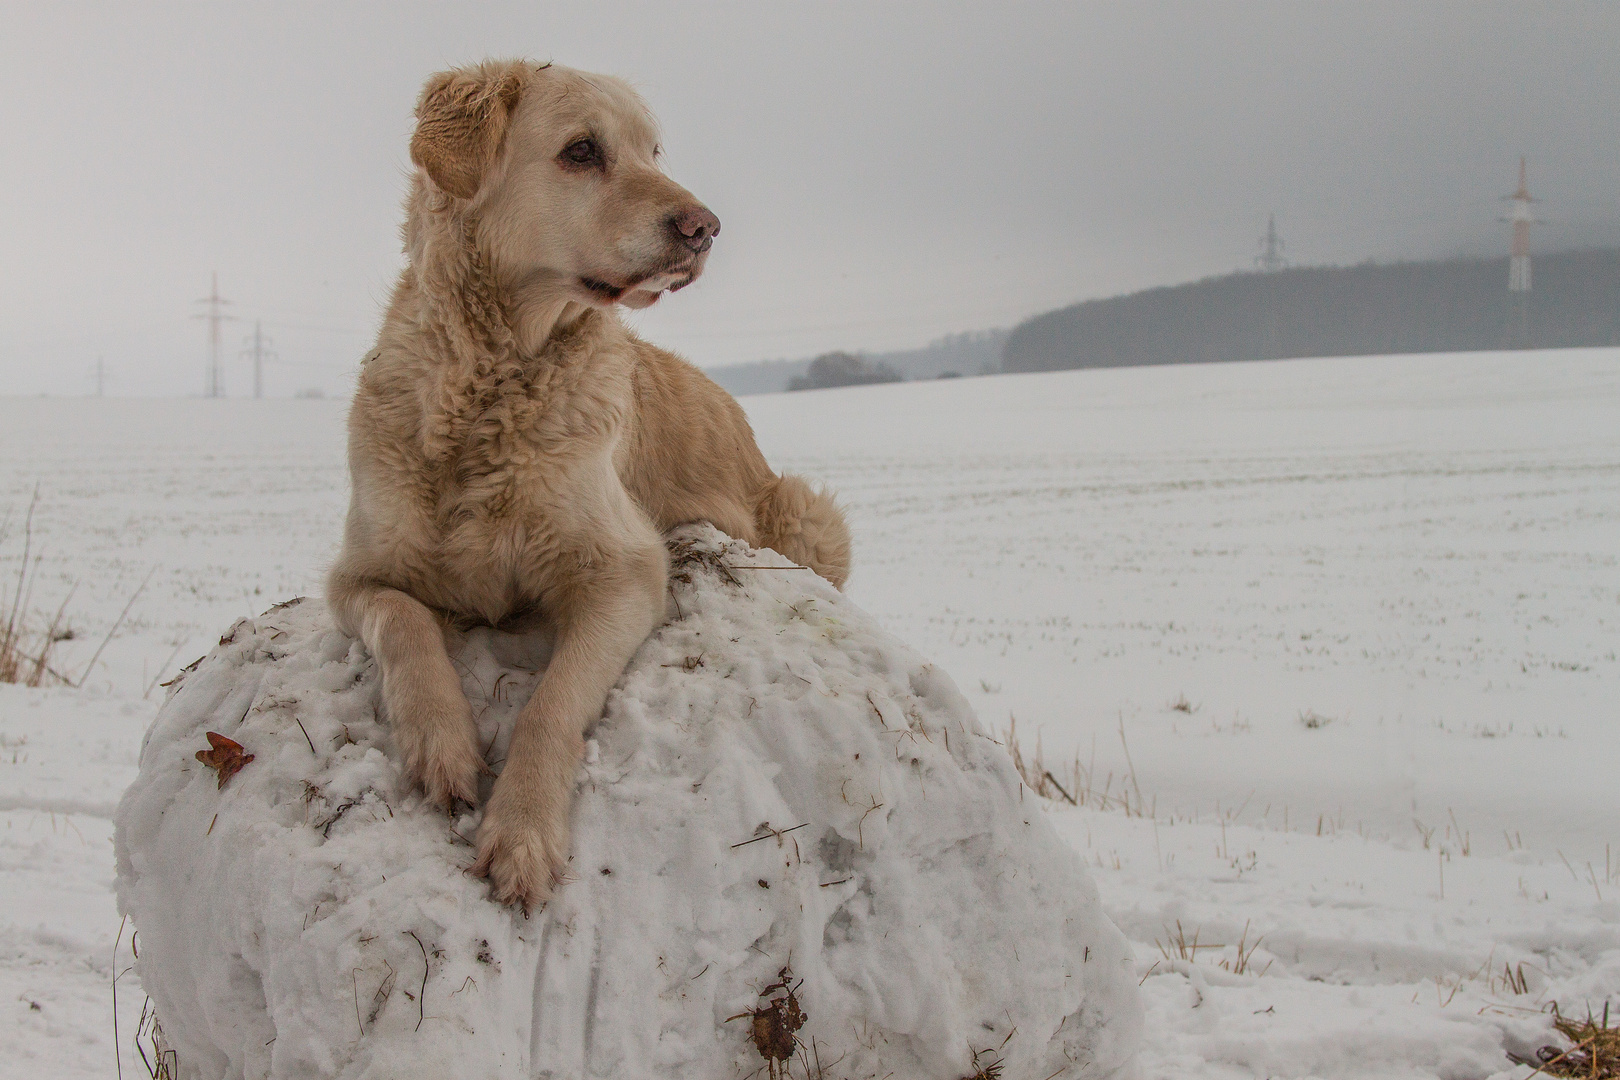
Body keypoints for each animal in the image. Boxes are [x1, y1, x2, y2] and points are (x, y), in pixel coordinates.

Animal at [333, 61, 855, 913]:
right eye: (582, 151)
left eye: (653, 151)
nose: (705, 227)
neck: (492, 382)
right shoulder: (354, 576)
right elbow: (403, 622)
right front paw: (440, 744)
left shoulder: (626, 569)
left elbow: (551, 704)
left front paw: (522, 833)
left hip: (808, 517)